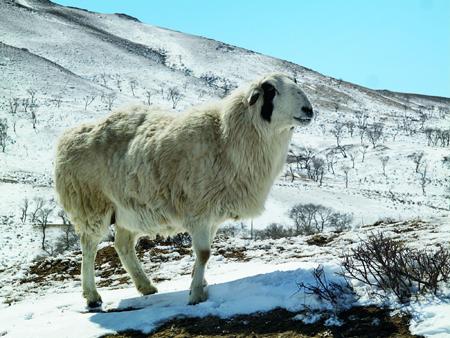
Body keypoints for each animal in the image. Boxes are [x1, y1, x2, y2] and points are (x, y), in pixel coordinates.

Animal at [53, 72, 312, 308]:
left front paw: (199, 285)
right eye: (271, 90)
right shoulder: (199, 210)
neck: (225, 135)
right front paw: (196, 294)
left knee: (122, 245)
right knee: (88, 247)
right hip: (92, 204)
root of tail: (68, 136)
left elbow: (205, 253)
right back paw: (92, 296)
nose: (309, 110)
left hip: (128, 209)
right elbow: (204, 253)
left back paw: (145, 286)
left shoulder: (213, 214)